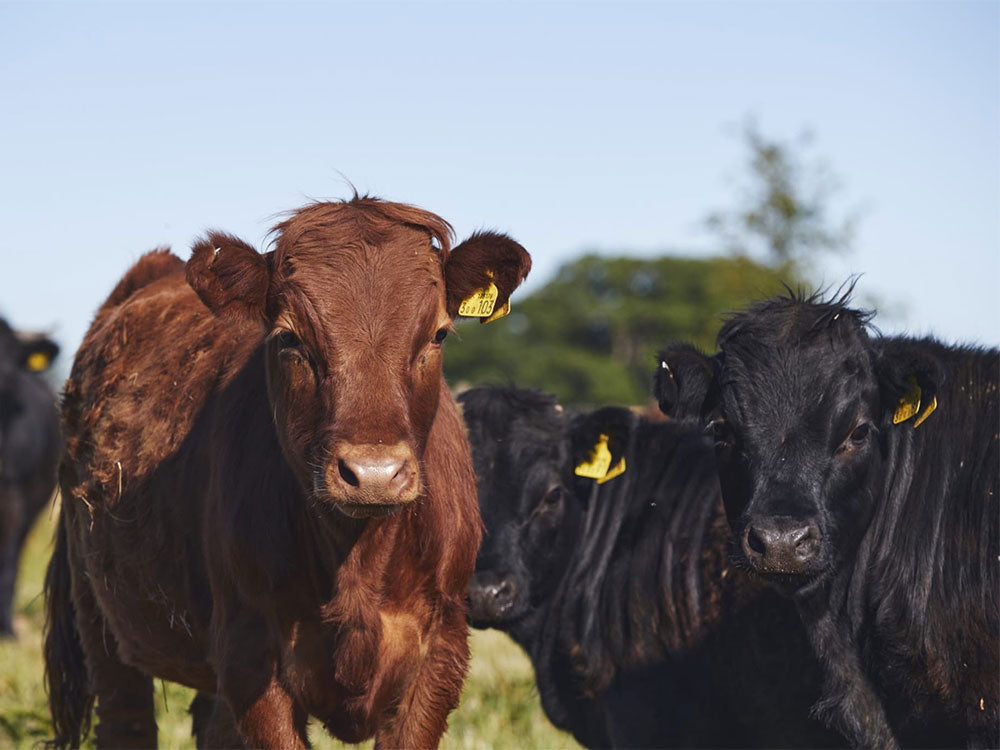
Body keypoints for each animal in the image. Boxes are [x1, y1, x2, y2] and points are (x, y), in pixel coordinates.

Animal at [44, 196, 531, 749]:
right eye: (290, 338)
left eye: (439, 334)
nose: (374, 473)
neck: (357, 565)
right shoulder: (251, 657)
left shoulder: (441, 653)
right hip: (100, 617)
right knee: (125, 718)